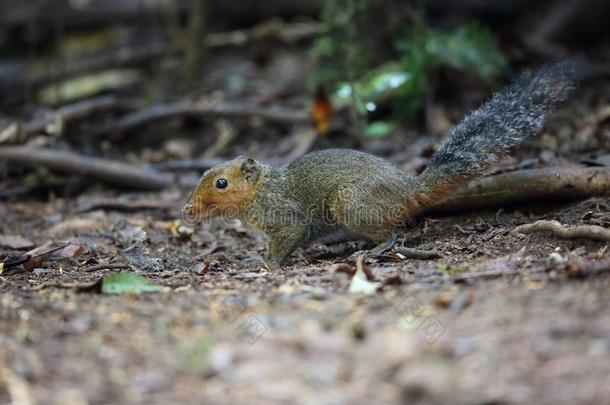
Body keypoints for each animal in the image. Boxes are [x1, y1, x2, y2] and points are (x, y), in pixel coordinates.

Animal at [183, 60, 580, 266]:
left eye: (221, 184)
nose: (188, 210)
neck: (260, 191)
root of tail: (410, 190)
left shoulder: (284, 217)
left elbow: (286, 241)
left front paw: (264, 262)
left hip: (352, 203)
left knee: (391, 233)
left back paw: (376, 249)